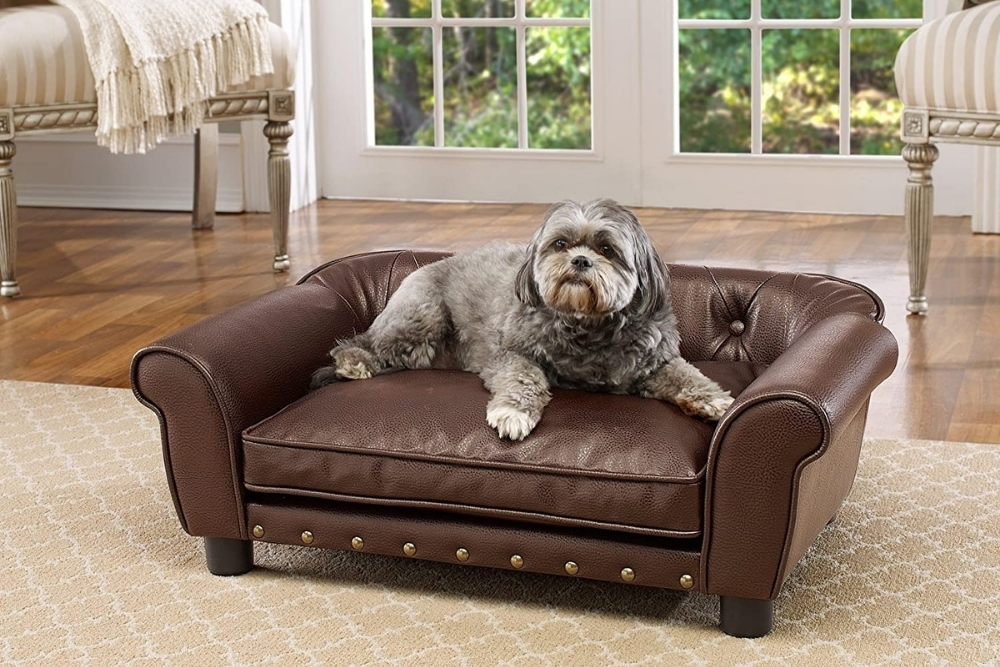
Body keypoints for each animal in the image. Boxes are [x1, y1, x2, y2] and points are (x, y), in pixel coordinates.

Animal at [310, 198, 736, 444]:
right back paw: (354, 363)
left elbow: (686, 373)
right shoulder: (510, 355)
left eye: (607, 249)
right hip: (421, 321)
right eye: (560, 243)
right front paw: (513, 413)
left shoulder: (653, 361)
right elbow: (525, 378)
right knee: (361, 342)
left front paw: (715, 400)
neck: (587, 326)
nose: (580, 260)